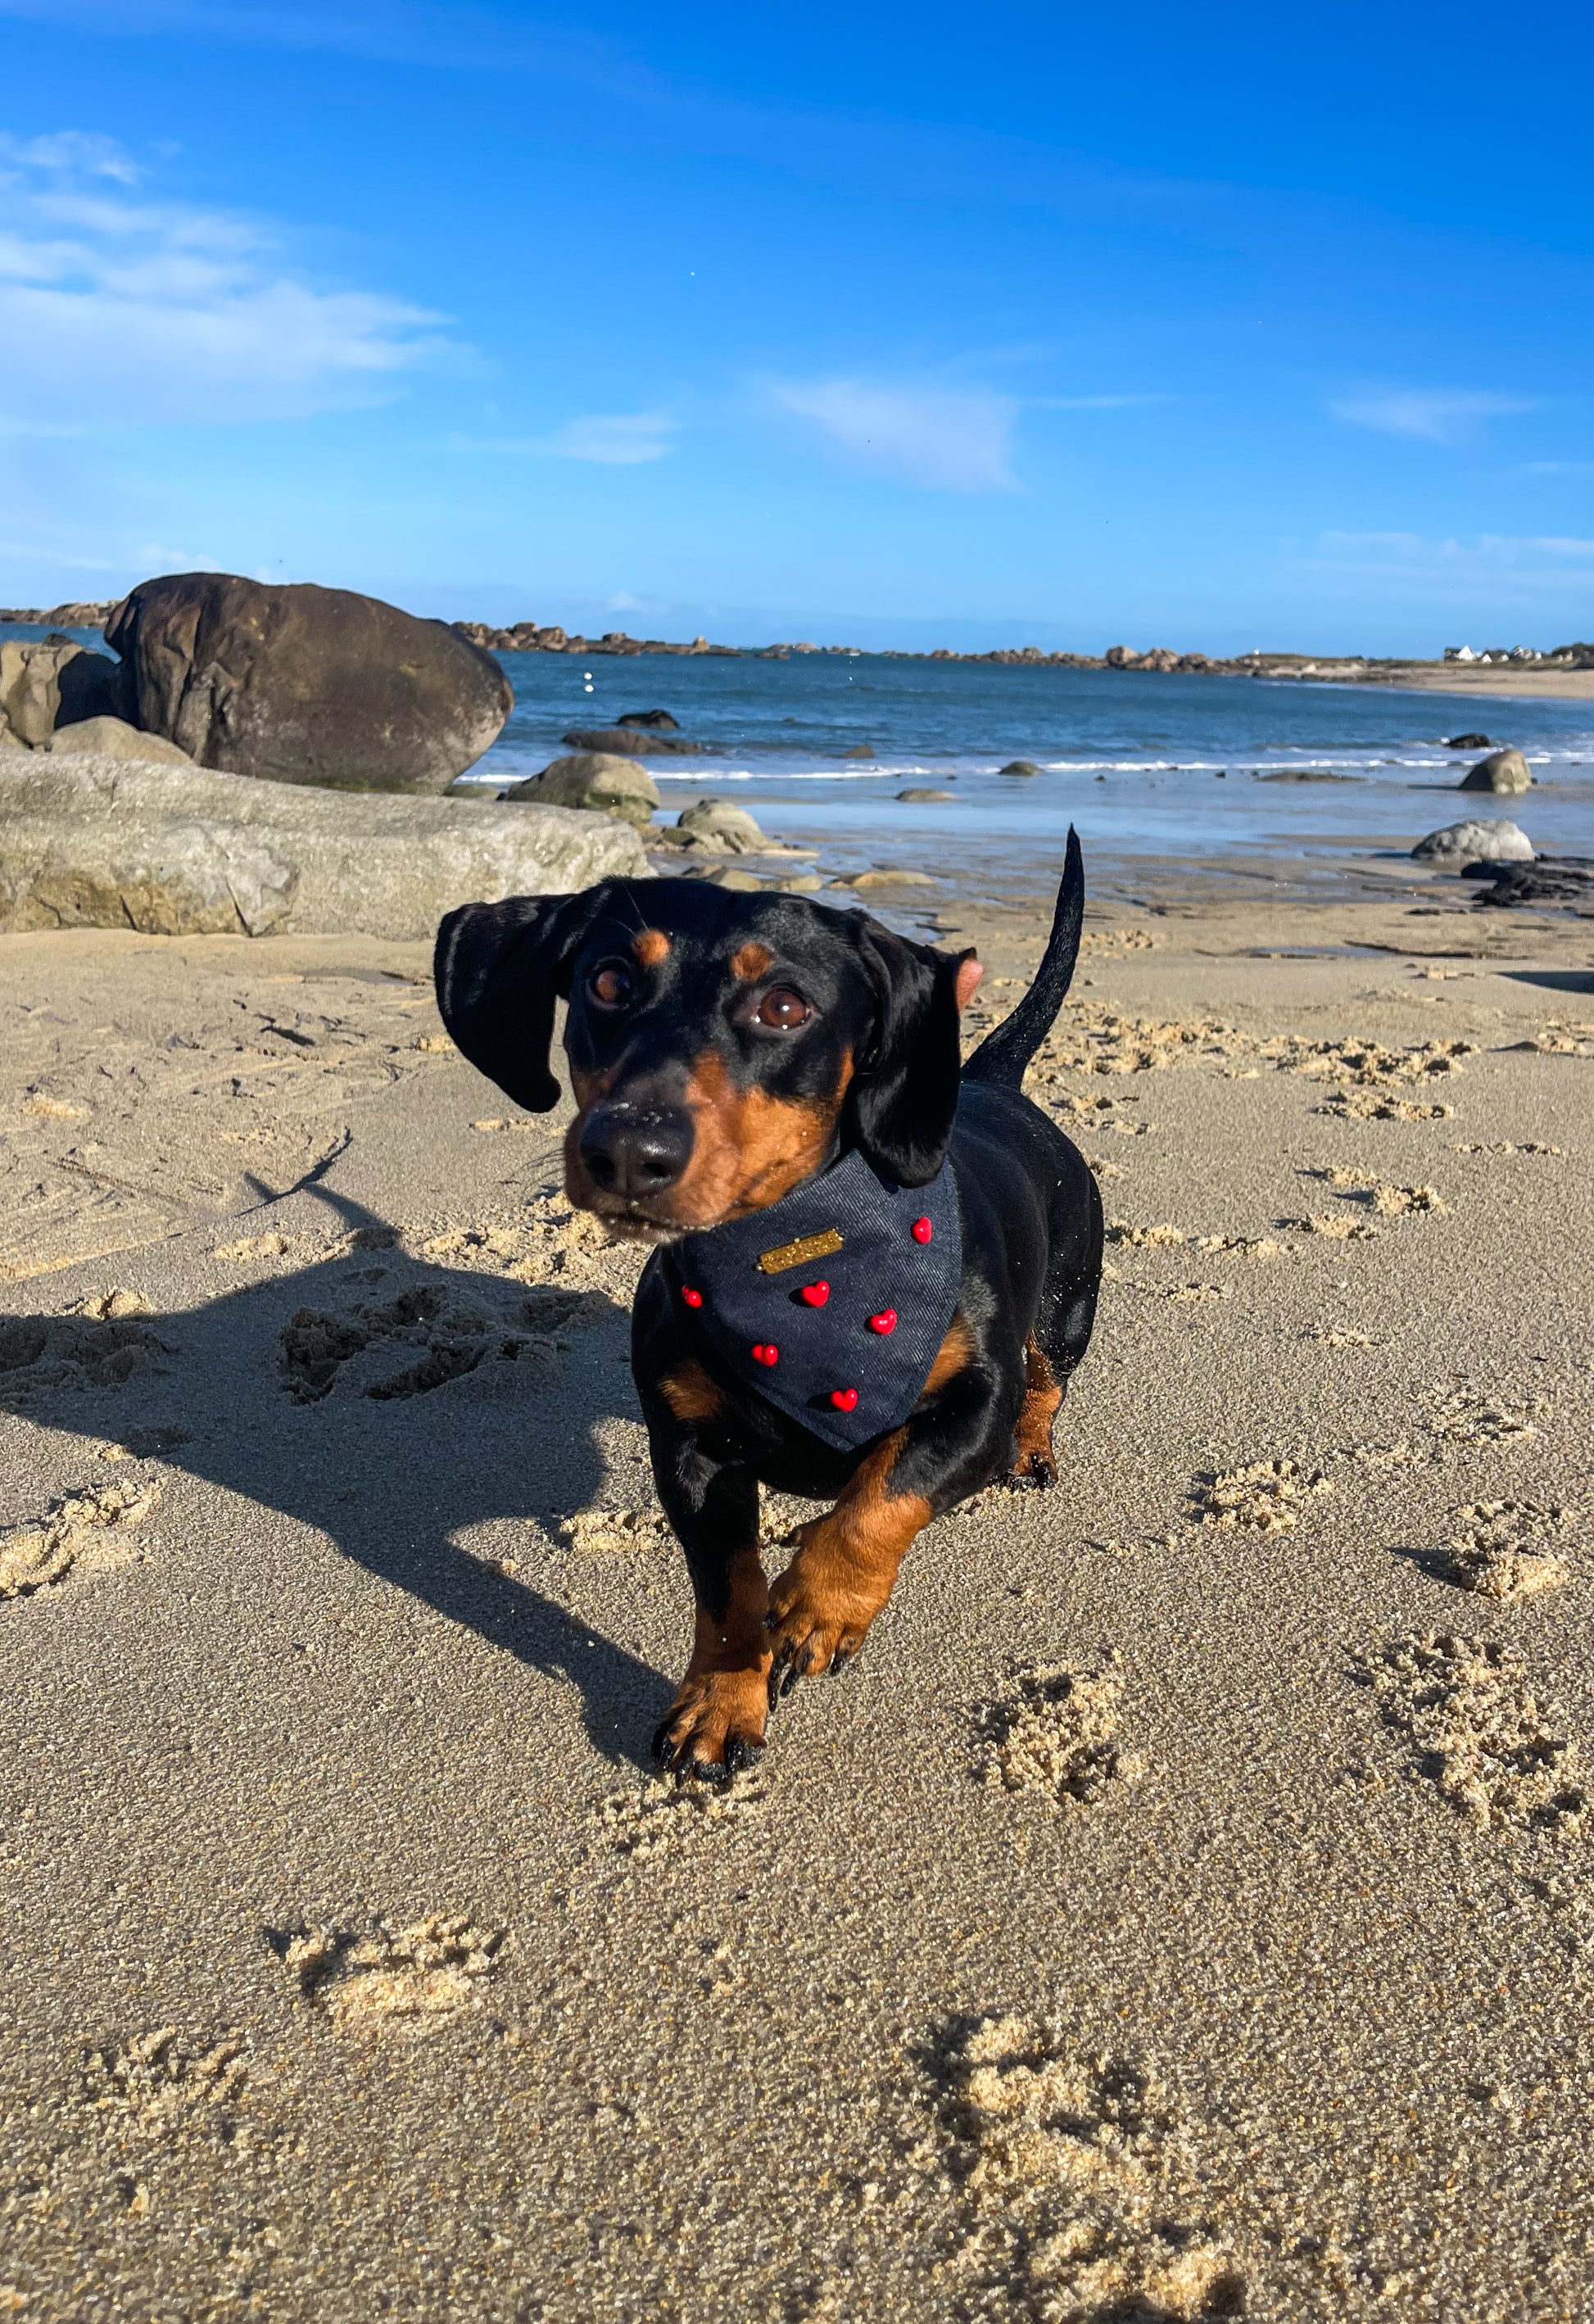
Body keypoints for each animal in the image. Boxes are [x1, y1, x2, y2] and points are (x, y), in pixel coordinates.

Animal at [433, 828, 1103, 1780]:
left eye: (785, 1005)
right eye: (607, 982)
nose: (627, 1150)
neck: (799, 1265)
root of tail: (995, 1084)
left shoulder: (973, 1410)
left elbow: (882, 1500)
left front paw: (819, 1608)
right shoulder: (690, 1453)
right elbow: (728, 1594)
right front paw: (720, 1703)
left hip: (1066, 1307)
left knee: (1046, 1379)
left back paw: (1032, 1451)